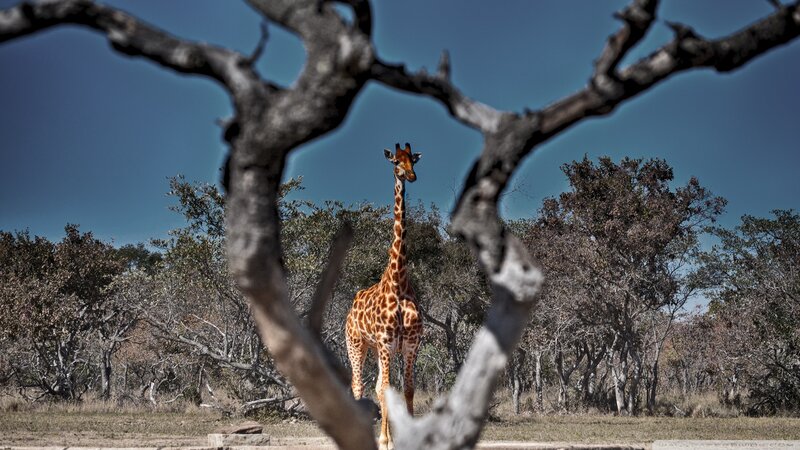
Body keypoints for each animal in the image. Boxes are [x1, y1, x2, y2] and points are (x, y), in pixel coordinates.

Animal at [346, 142, 424, 450]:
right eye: (395, 162)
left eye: (412, 160)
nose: (410, 176)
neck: (398, 283)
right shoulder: (386, 343)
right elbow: (388, 389)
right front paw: (386, 441)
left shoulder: (410, 344)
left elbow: (408, 389)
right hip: (357, 344)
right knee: (358, 386)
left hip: (377, 349)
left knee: (378, 388)